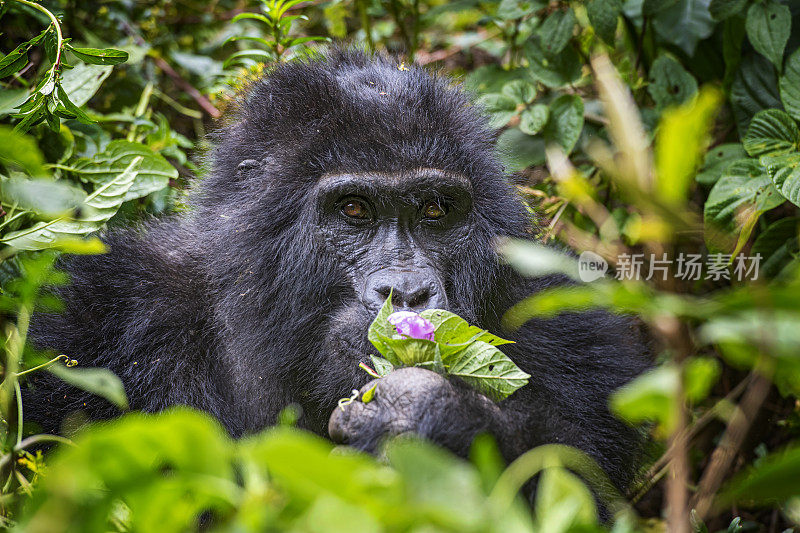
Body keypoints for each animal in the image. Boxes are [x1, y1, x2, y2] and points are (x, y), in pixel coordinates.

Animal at [26, 48, 648, 490]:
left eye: (435, 210)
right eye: (353, 210)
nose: (408, 291)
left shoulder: (571, 324)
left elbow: (579, 481)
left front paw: (427, 417)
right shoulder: (93, 312)